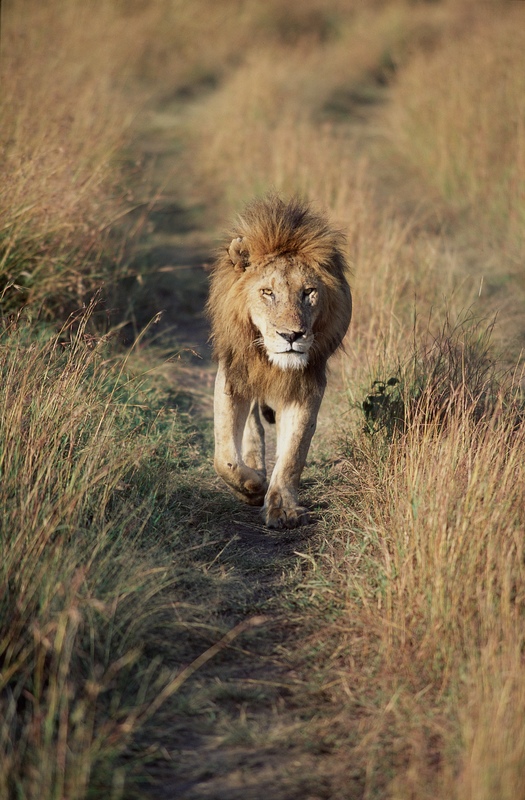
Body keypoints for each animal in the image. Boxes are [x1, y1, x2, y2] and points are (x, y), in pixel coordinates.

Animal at [207, 195, 352, 529]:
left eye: (309, 292)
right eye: (267, 292)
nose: (291, 335)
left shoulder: (308, 385)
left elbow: (293, 453)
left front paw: (282, 507)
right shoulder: (233, 373)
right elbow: (224, 457)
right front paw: (252, 487)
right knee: (251, 427)